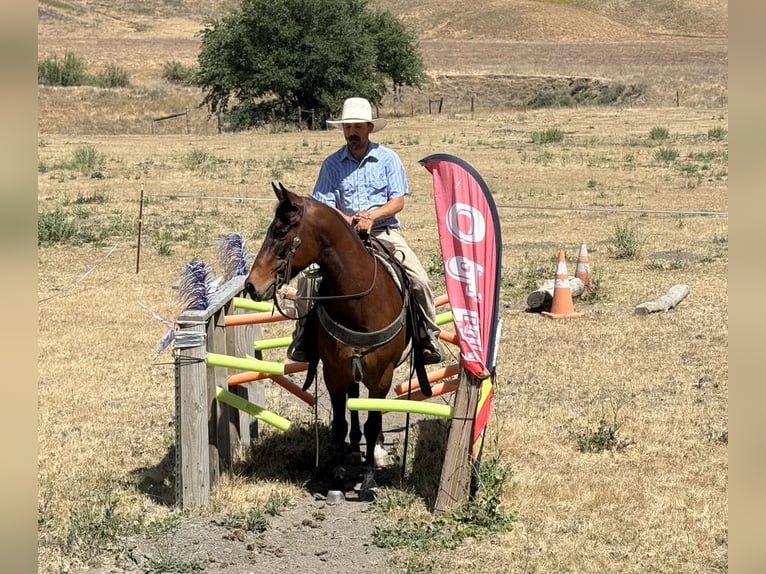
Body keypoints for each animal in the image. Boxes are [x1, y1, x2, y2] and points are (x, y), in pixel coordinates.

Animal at [245, 182, 419, 499]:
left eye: (281, 232)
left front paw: (369, 481)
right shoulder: (333, 372)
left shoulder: (382, 376)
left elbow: (374, 422)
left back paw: (374, 451)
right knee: (353, 402)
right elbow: (339, 423)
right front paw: (338, 479)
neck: (360, 302)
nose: (252, 285)